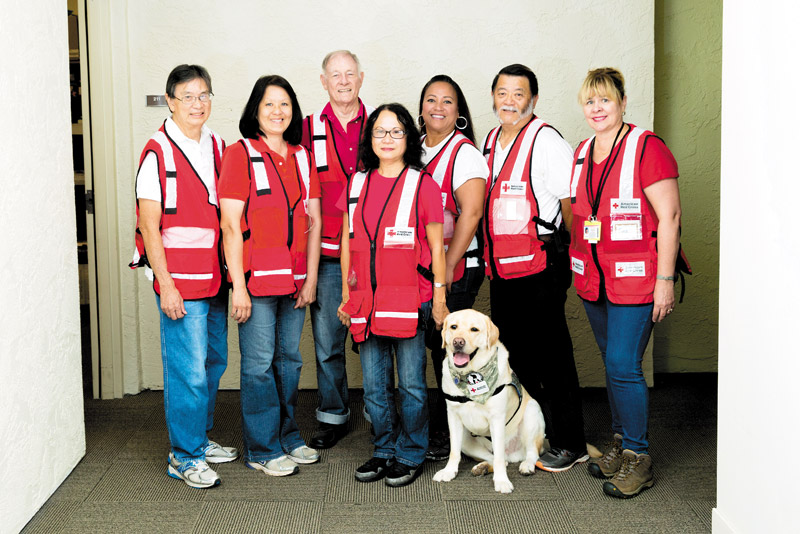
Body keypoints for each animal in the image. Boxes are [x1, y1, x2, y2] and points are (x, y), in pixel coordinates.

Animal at [434, 312, 548, 496]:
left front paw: (502, 481)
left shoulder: (497, 419)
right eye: (453, 327)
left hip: (532, 412)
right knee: (497, 459)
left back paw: (527, 466)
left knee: (530, 453)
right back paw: (482, 467)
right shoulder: (453, 416)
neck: (470, 375)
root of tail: (514, 454)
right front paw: (449, 471)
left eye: (474, 329)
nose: (458, 342)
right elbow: (453, 452)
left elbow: (500, 458)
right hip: (466, 439)